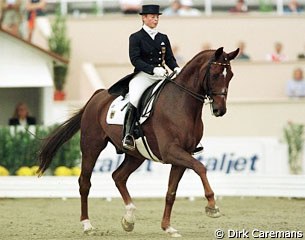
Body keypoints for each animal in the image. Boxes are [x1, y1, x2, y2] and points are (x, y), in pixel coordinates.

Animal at [36, 46, 239, 236]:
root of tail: (98, 96)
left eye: (230, 76)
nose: (220, 110)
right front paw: (212, 206)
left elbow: (171, 192)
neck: (182, 103)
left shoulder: (182, 155)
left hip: (136, 155)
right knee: (85, 183)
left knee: (118, 176)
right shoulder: (171, 151)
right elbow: (200, 167)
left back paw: (129, 218)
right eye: (214, 74)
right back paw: (87, 225)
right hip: (91, 147)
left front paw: (168, 227)